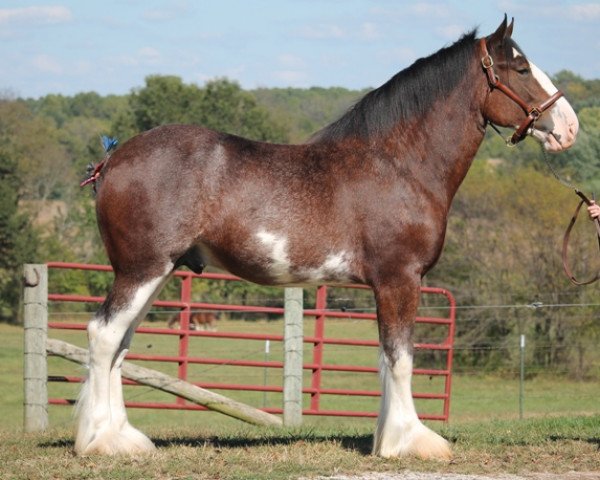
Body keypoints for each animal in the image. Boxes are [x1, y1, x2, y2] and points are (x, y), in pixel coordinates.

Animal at [75, 16, 576, 460]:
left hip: (157, 272)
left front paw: (386, 439)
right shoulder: (400, 279)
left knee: (120, 345)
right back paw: (101, 441)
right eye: (521, 68)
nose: (570, 127)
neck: (397, 164)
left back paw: (124, 438)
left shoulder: (386, 286)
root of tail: (112, 160)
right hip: (141, 270)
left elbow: (385, 360)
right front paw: (412, 442)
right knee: (104, 336)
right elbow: (401, 359)